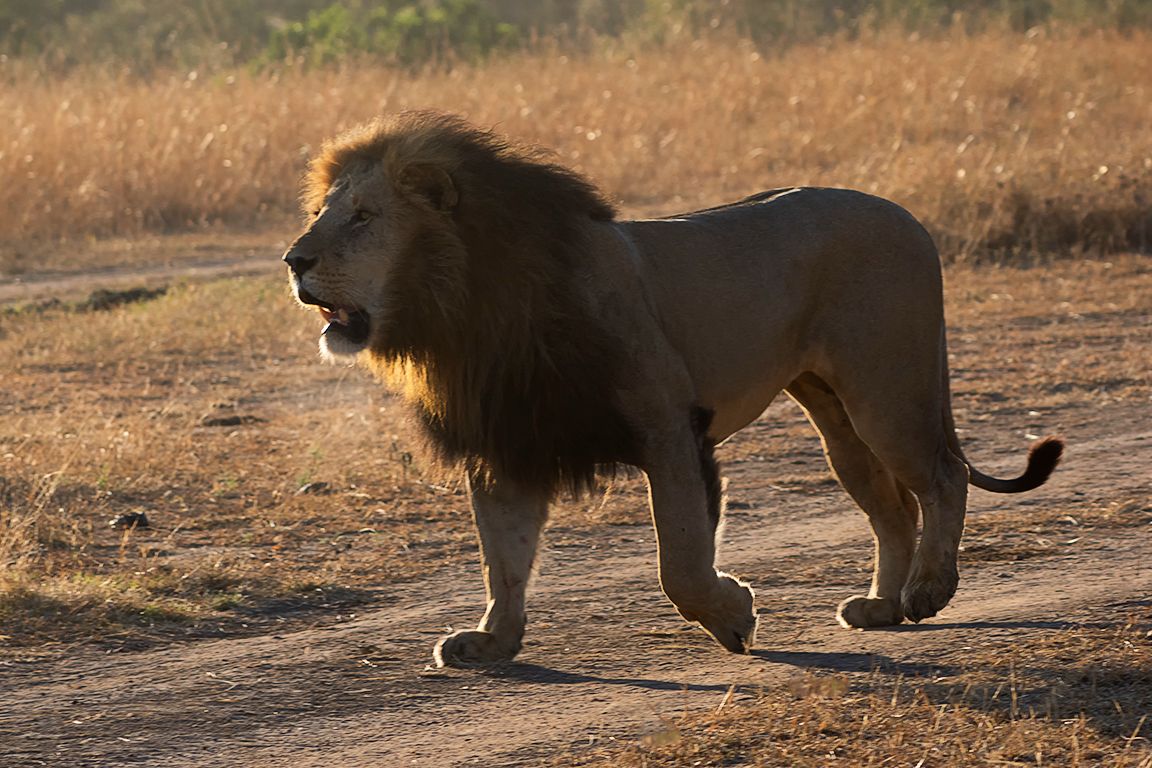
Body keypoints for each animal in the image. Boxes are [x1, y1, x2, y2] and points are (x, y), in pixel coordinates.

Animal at [283, 111, 1063, 667]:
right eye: (321, 212)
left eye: (363, 218)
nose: (293, 259)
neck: (466, 310)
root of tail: (908, 216)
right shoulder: (509, 445)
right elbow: (503, 559)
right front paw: (493, 642)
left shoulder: (666, 425)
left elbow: (680, 561)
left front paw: (734, 616)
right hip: (834, 416)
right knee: (892, 507)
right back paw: (883, 606)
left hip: (886, 393)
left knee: (942, 475)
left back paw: (929, 590)